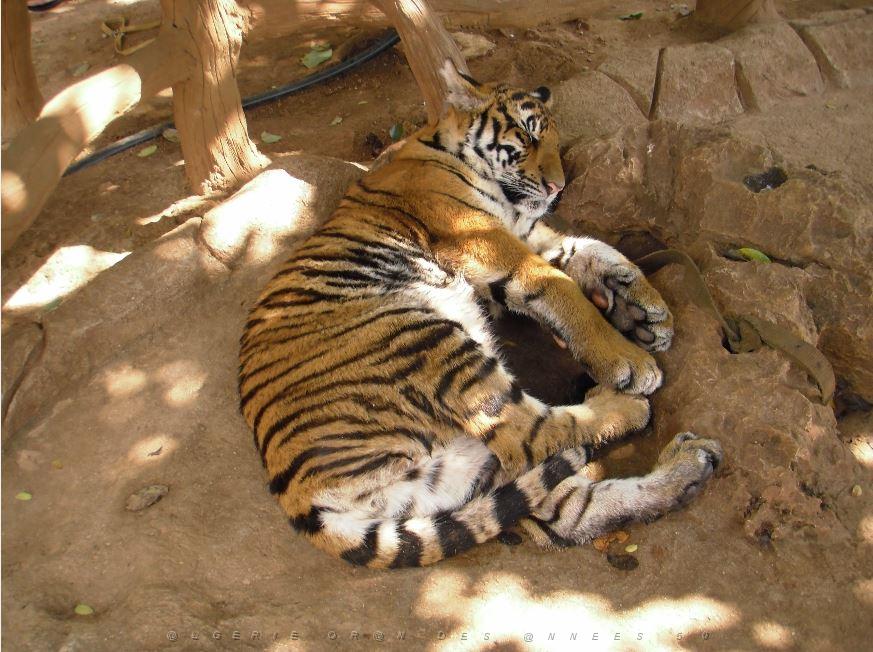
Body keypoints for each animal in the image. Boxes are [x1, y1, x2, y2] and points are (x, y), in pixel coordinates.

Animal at [238, 61, 723, 568]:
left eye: (555, 140)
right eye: (528, 135)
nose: (558, 187)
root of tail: (298, 496)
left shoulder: (528, 233)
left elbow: (594, 251)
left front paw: (650, 314)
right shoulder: (482, 237)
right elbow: (559, 283)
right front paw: (628, 360)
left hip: (461, 470)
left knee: (560, 509)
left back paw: (689, 467)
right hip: (422, 337)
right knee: (531, 436)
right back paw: (624, 405)